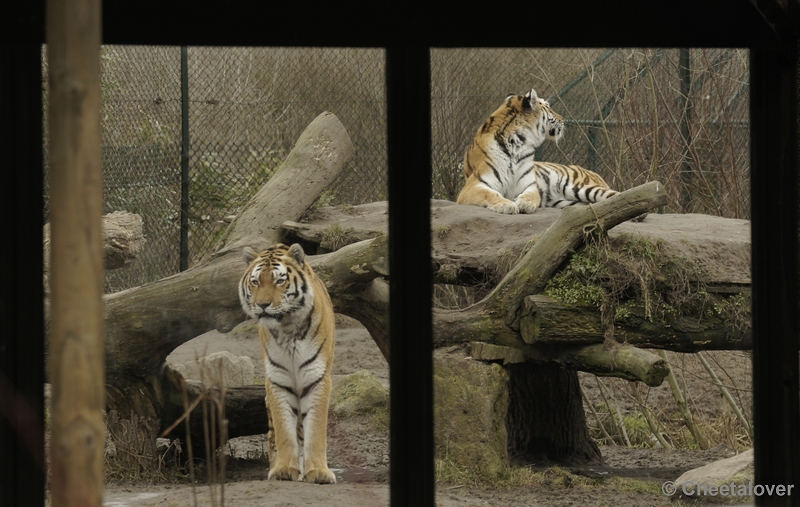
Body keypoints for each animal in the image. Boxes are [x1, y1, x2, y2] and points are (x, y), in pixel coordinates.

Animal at [238, 244, 338, 486]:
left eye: (279, 280)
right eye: (255, 282)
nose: (262, 305)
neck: (287, 327)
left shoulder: (316, 377)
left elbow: (315, 431)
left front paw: (319, 471)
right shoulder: (277, 380)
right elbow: (284, 431)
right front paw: (283, 469)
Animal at [460, 89, 628, 214]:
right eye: (548, 106)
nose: (563, 119)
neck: (518, 143)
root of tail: (595, 174)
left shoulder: (529, 184)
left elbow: (530, 195)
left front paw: (524, 204)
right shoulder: (473, 186)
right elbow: (490, 193)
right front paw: (506, 205)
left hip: (580, 187)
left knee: (618, 196)